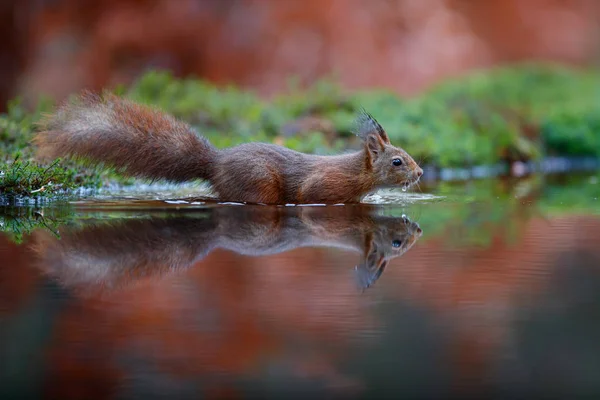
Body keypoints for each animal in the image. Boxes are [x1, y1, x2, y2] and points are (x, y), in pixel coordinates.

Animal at [36, 90, 422, 203]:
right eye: (397, 161)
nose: (420, 173)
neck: (357, 173)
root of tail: (215, 163)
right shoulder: (322, 189)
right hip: (258, 185)